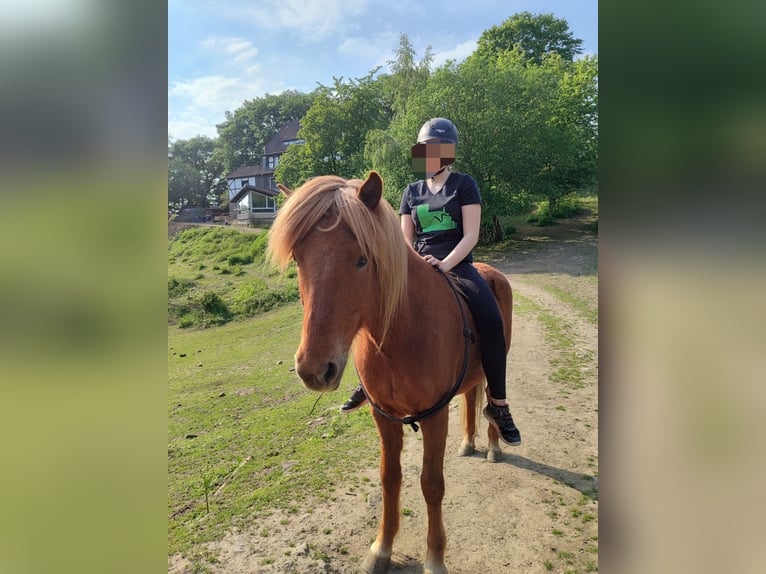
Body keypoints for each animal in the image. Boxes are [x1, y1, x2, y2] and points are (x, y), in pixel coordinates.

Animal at [267, 171, 513, 574]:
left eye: (362, 260)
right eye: (299, 261)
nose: (314, 369)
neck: (400, 333)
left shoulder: (434, 417)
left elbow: (432, 484)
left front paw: (434, 557)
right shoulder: (382, 415)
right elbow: (390, 479)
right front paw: (381, 548)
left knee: (493, 399)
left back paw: (494, 443)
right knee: (472, 397)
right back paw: (469, 442)